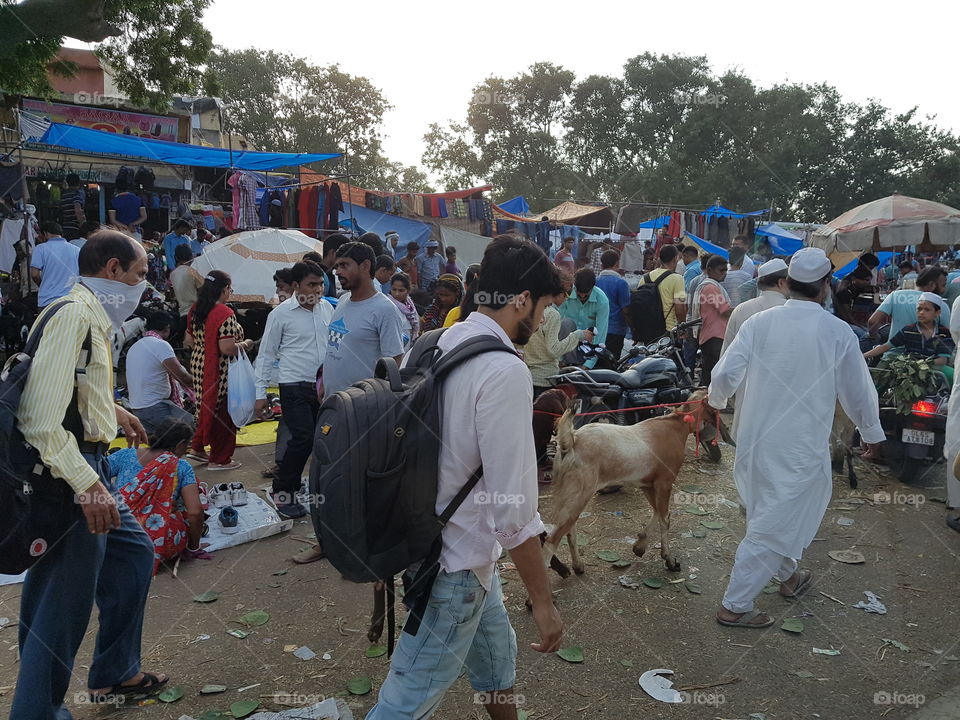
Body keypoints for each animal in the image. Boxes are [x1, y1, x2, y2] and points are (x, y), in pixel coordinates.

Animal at [540, 388, 712, 572]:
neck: (676, 426)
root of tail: (571, 442)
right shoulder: (664, 482)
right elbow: (664, 518)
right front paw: (669, 559)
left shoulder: (648, 484)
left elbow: (658, 512)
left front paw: (640, 546)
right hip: (581, 491)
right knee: (552, 540)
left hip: (569, 493)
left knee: (569, 530)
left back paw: (578, 565)